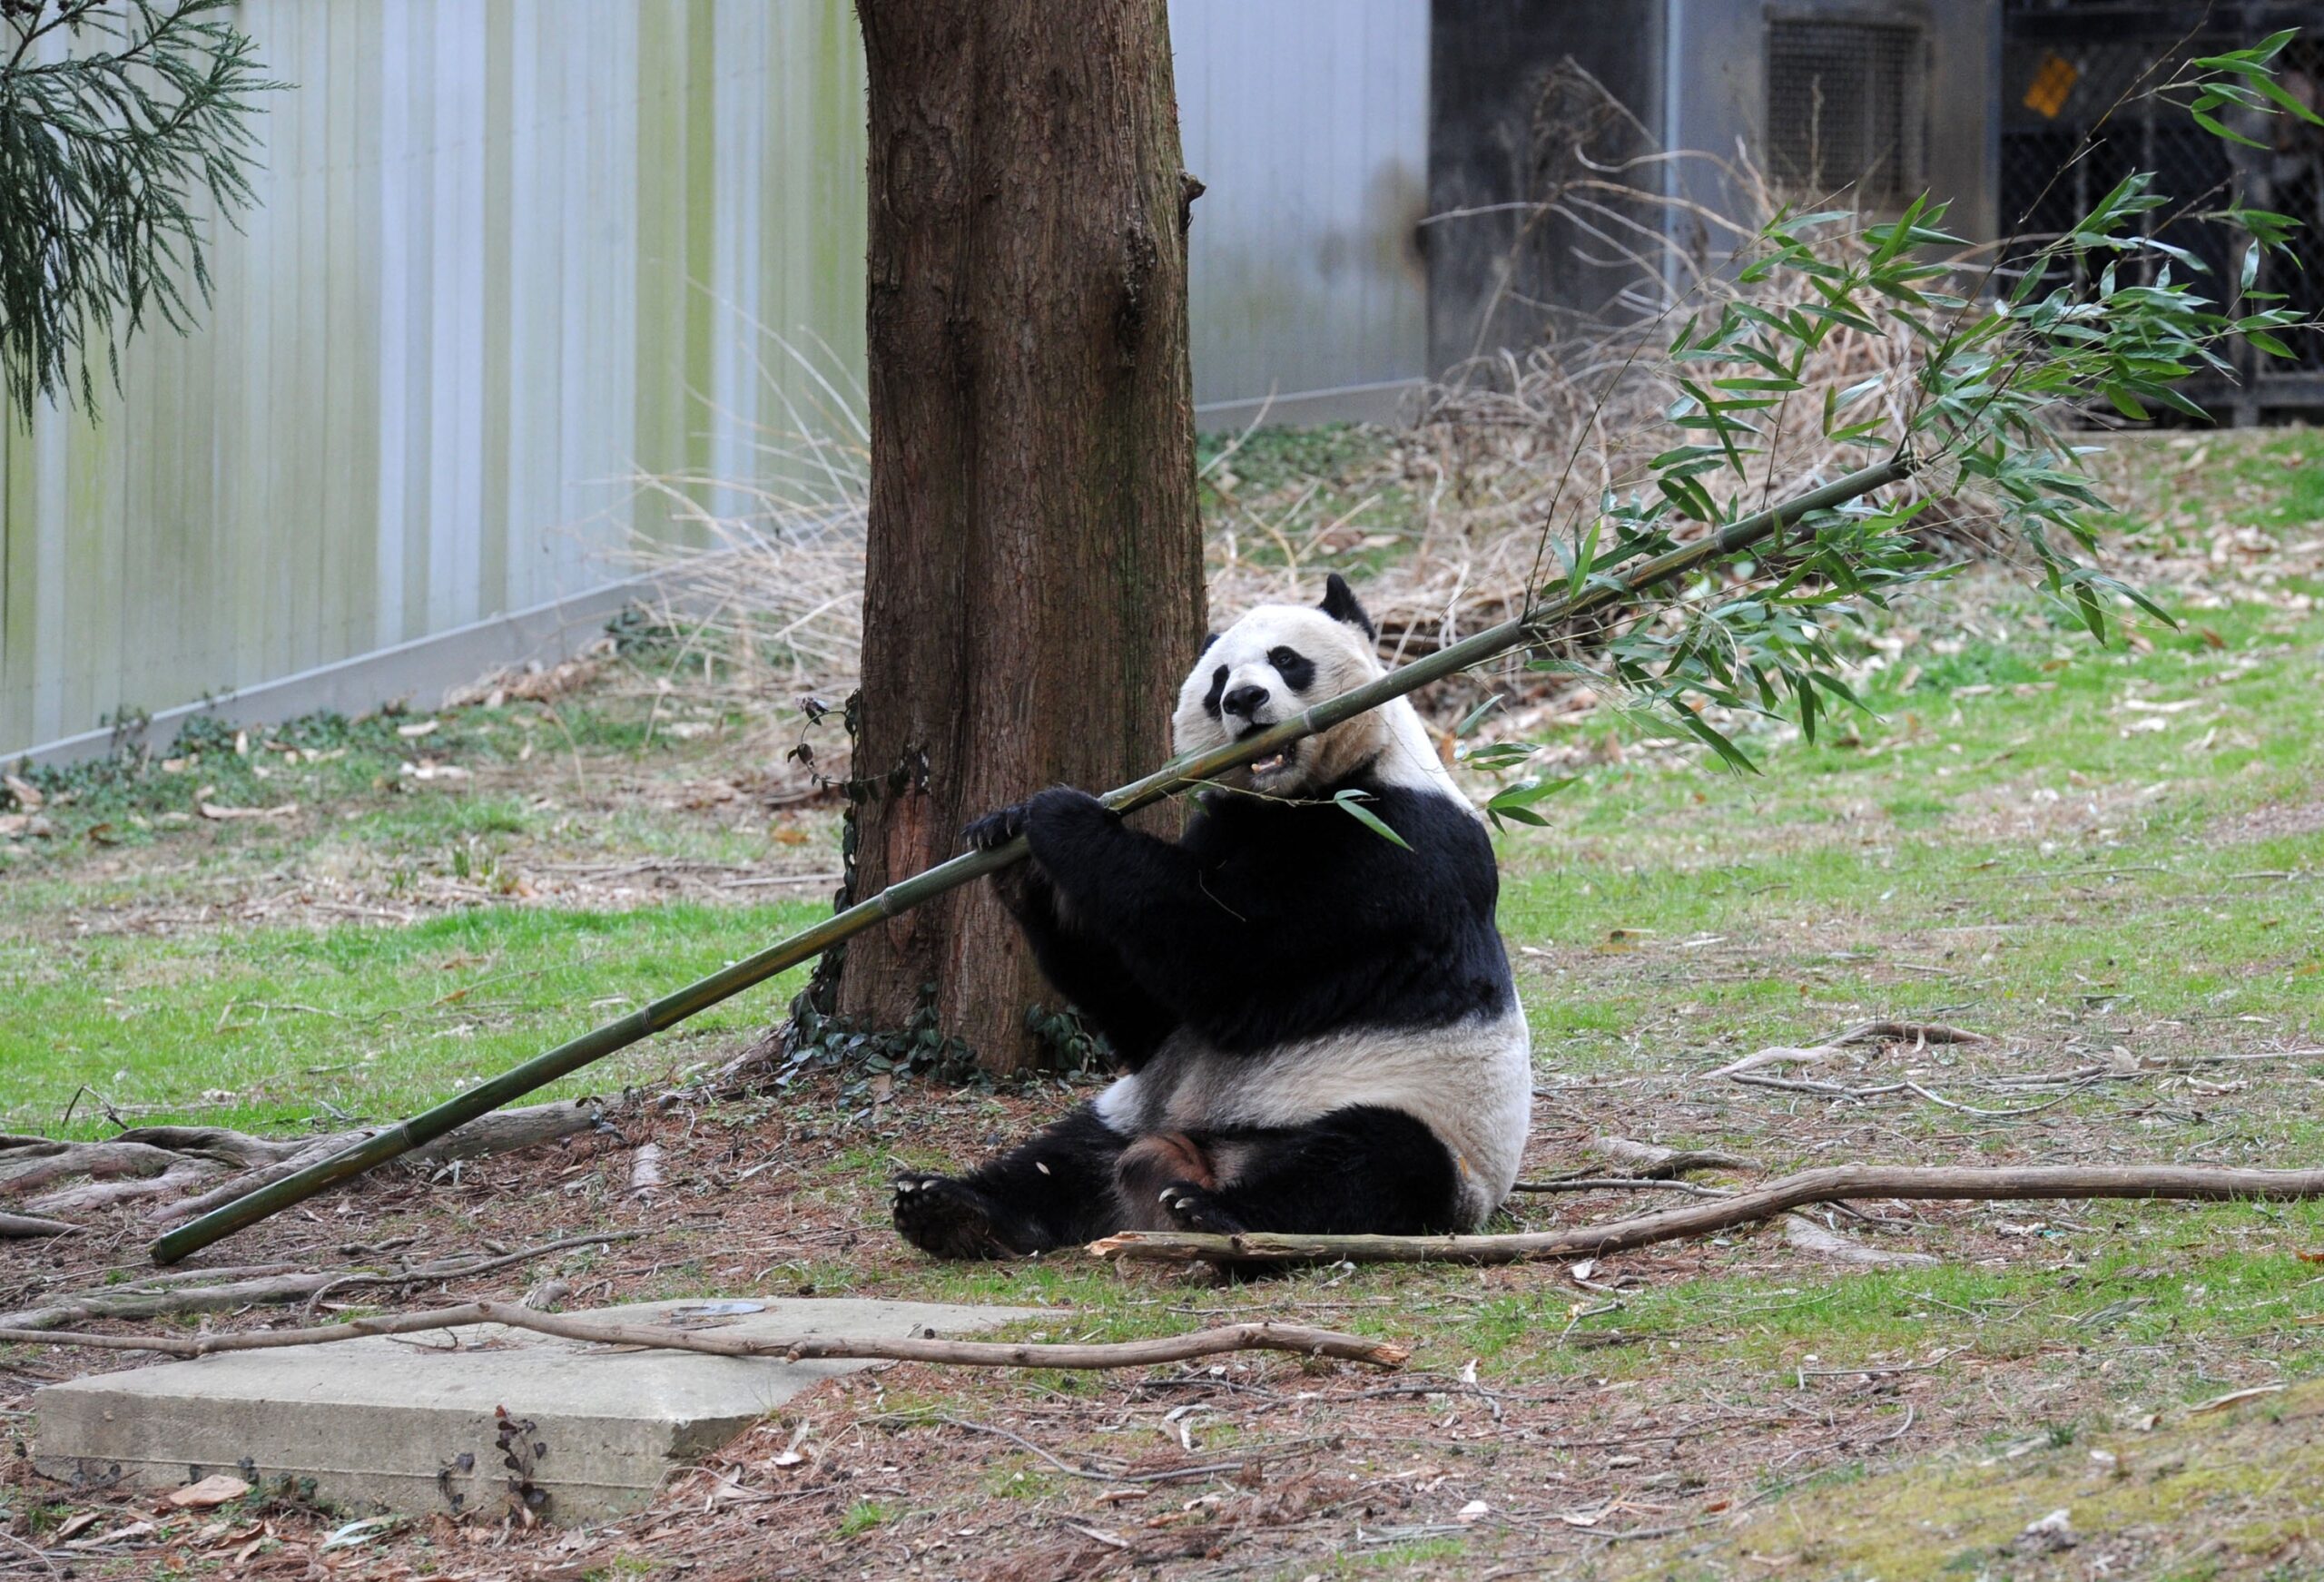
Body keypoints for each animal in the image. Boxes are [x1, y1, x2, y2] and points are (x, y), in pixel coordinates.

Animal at [891, 572, 1532, 1258]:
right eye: (1218, 678)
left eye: (1286, 659)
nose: (1244, 698)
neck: (1292, 799)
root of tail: (1195, 1160)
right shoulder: (1227, 825)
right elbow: (1147, 1013)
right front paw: (1009, 839)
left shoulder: (1395, 847)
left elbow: (1230, 962)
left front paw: (1060, 815)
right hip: (1133, 1110)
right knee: (1062, 1159)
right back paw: (952, 1208)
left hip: (1420, 1116)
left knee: (1373, 1164)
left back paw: (1218, 1214)